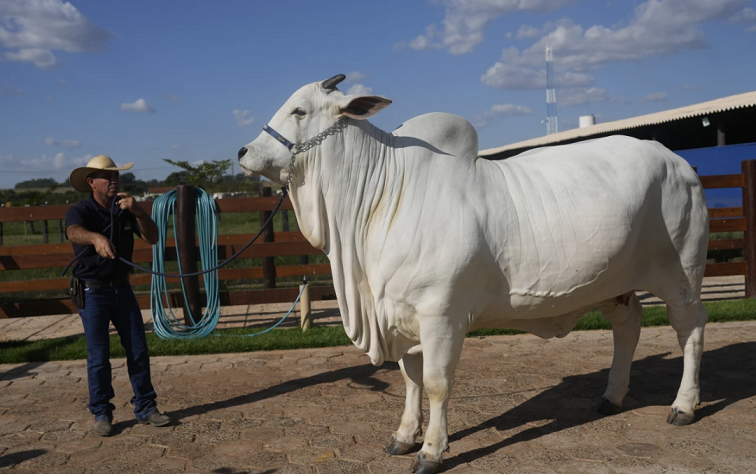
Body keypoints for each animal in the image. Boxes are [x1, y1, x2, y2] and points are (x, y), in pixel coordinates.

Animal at [241, 75, 708, 474]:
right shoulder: (401, 315)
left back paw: (684, 406)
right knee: (628, 326)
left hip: (681, 277)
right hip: (616, 285)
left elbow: (436, 383)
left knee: (690, 331)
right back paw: (612, 396)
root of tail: (679, 162)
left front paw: (431, 450)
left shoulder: (441, 316)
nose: (244, 152)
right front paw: (404, 436)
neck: (383, 197)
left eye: (299, 110)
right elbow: (409, 380)